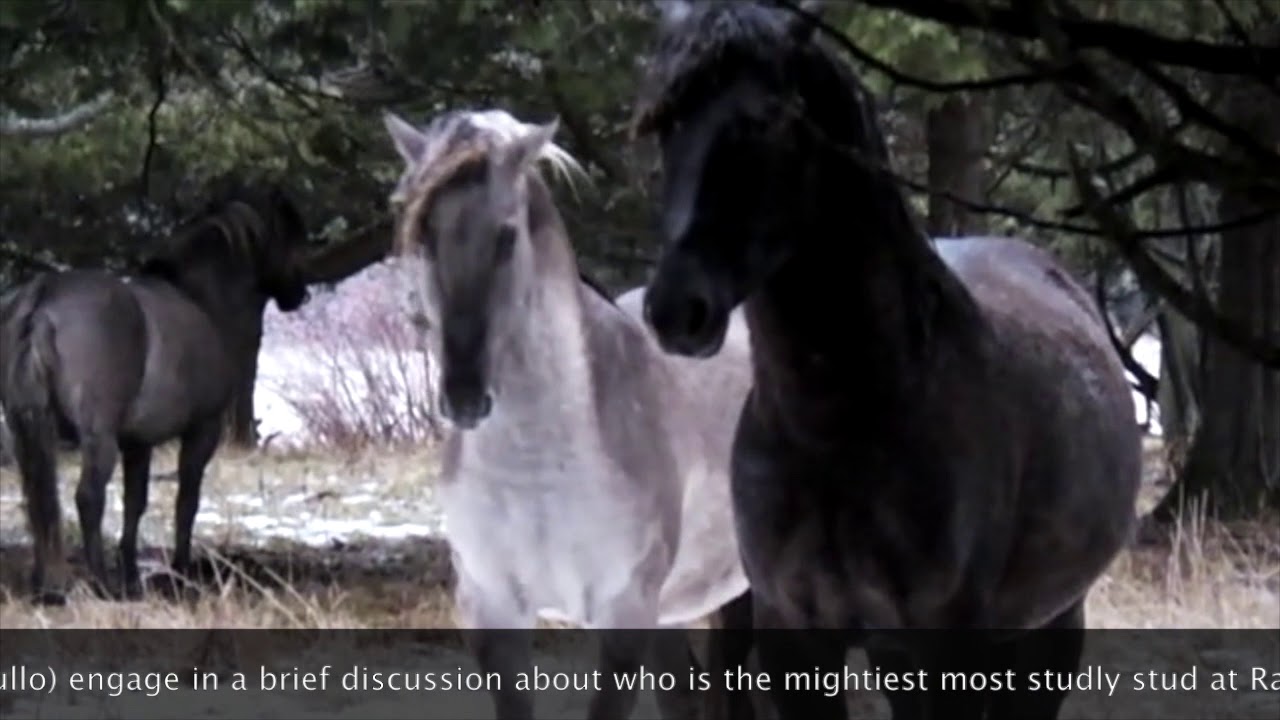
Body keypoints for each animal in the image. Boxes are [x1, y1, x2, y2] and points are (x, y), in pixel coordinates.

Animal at [0, 182, 312, 605]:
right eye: (290, 233)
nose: (301, 294)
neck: (199, 300)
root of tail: (43, 296)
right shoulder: (202, 430)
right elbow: (186, 501)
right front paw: (180, 572)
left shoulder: (138, 442)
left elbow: (136, 503)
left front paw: (133, 576)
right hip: (97, 436)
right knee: (88, 497)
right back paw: (100, 583)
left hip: (29, 429)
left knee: (36, 498)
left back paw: (47, 586)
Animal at [631, 2, 1144, 719]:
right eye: (665, 123)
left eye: (767, 119)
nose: (678, 308)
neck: (839, 428)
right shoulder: (794, 638)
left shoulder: (938, 648)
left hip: (1049, 628)